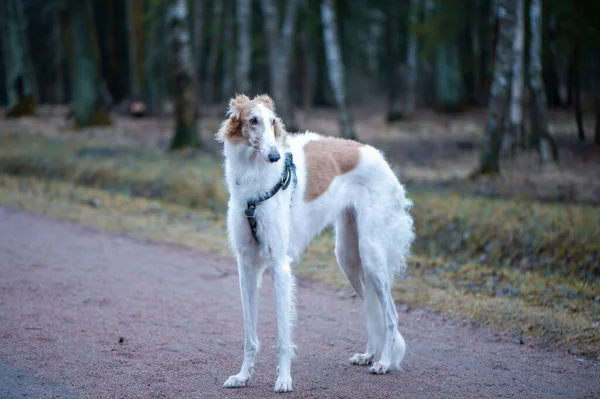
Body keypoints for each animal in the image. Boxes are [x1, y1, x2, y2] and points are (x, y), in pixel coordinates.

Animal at [217, 94, 418, 394]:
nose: (275, 156)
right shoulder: (247, 265)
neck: (255, 176)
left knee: (391, 313)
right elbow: (249, 336)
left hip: (371, 253)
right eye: (253, 120)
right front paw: (243, 376)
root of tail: (380, 158)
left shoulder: (279, 264)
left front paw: (284, 380)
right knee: (372, 309)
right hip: (347, 256)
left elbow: (283, 336)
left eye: (273, 121)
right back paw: (369, 354)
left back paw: (383, 362)